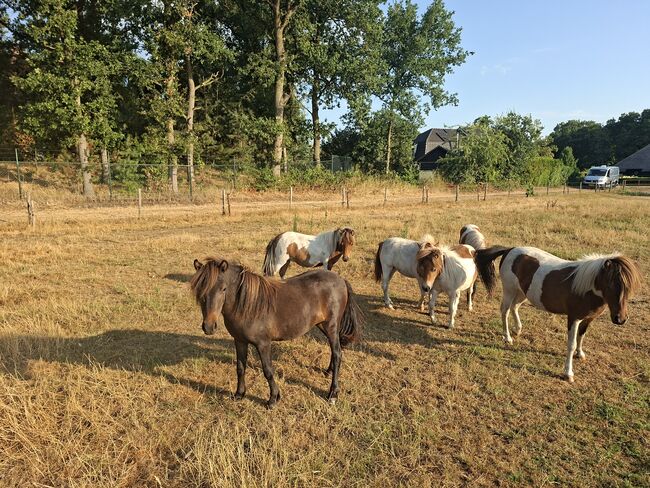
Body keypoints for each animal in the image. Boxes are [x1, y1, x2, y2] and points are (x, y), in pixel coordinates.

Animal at [191, 257, 364, 408]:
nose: (209, 327)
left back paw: (333, 393)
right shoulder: (239, 341)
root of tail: (340, 279)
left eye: (223, 288)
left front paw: (273, 398)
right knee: (335, 351)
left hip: (331, 326)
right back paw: (328, 372)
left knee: (337, 353)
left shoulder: (263, 344)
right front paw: (239, 394)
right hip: (322, 325)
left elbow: (268, 370)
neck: (248, 306)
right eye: (200, 290)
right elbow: (240, 368)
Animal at [475, 246, 641, 382]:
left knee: (514, 307)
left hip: (522, 292)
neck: (585, 287)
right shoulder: (573, 318)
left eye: (629, 288)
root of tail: (509, 249)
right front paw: (568, 374)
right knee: (505, 310)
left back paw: (518, 329)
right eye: (611, 284)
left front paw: (580, 354)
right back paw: (507, 337)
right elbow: (571, 345)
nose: (620, 319)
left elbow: (581, 336)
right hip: (509, 290)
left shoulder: (588, 319)